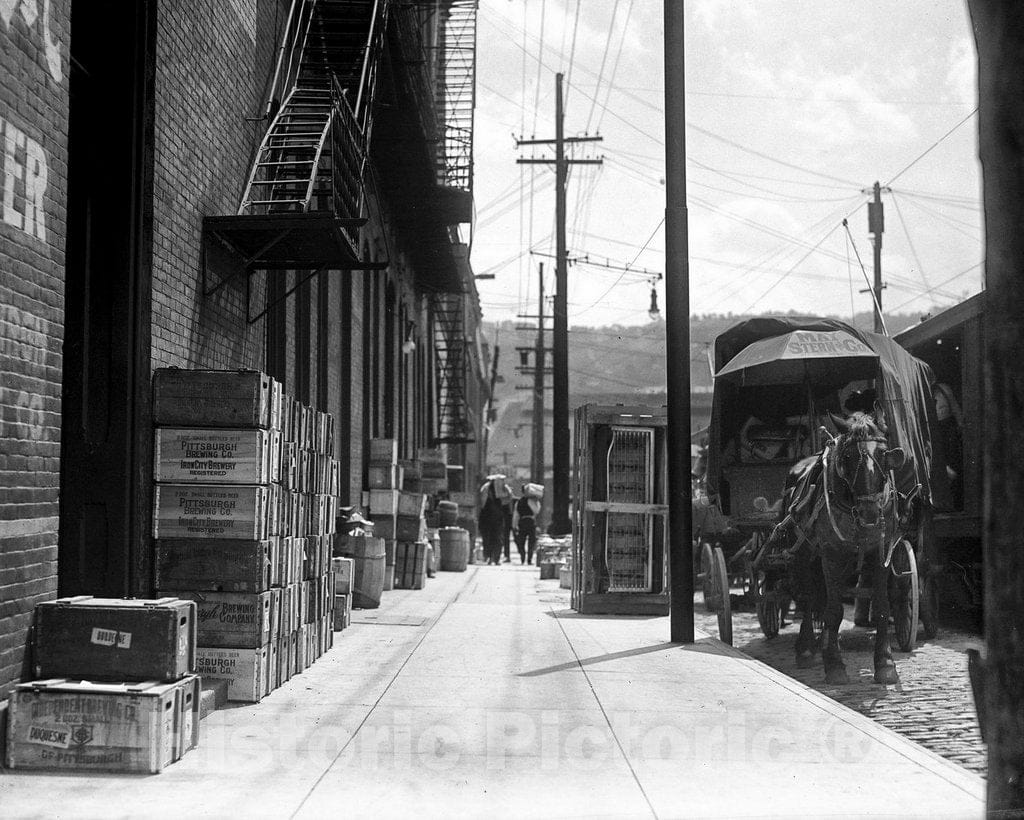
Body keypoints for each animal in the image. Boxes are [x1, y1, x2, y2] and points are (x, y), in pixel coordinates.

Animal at [770, 409, 909, 683]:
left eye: (884, 454)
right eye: (847, 457)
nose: (870, 512)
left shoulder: (879, 551)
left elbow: (881, 606)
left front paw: (885, 663)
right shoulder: (831, 555)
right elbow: (833, 610)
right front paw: (834, 665)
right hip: (804, 555)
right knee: (809, 597)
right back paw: (806, 649)